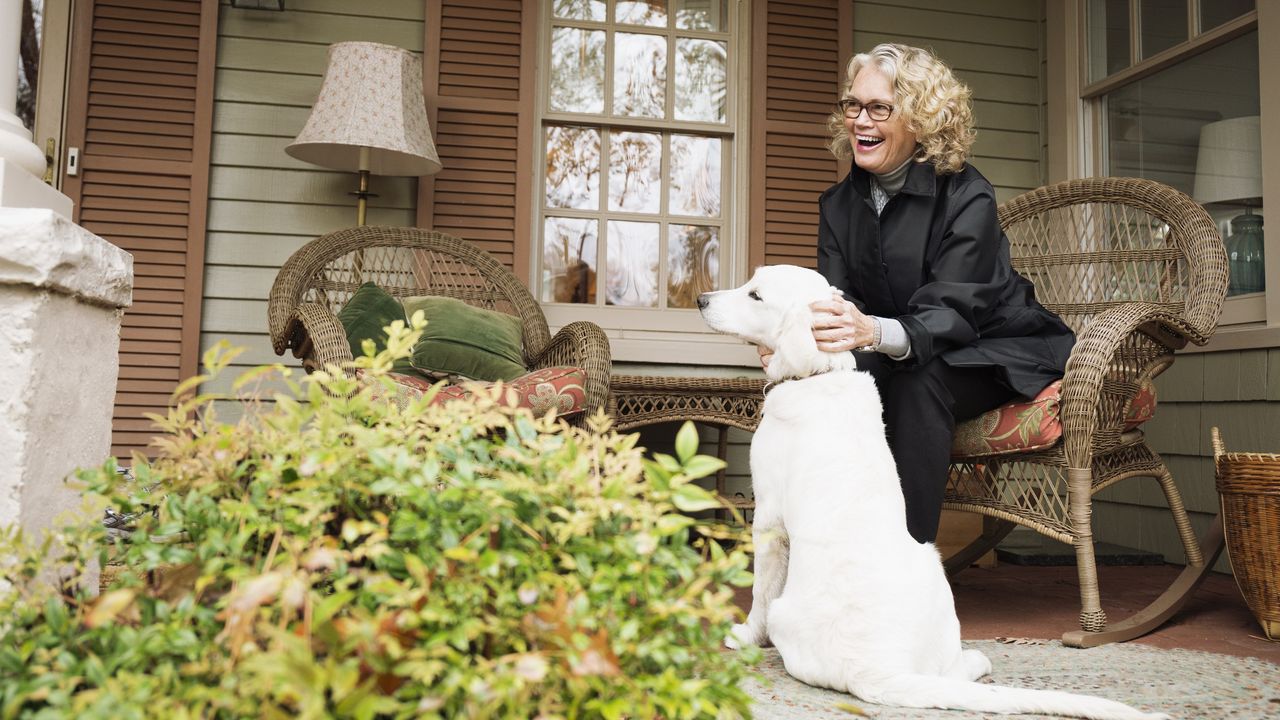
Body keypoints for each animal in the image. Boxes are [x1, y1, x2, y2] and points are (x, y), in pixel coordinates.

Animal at [701, 265, 1172, 717]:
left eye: (756, 295)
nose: (702, 299)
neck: (818, 374)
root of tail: (877, 669)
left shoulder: (768, 521)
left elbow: (760, 591)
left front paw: (745, 636)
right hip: (933, 569)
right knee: (948, 675)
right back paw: (978, 659)